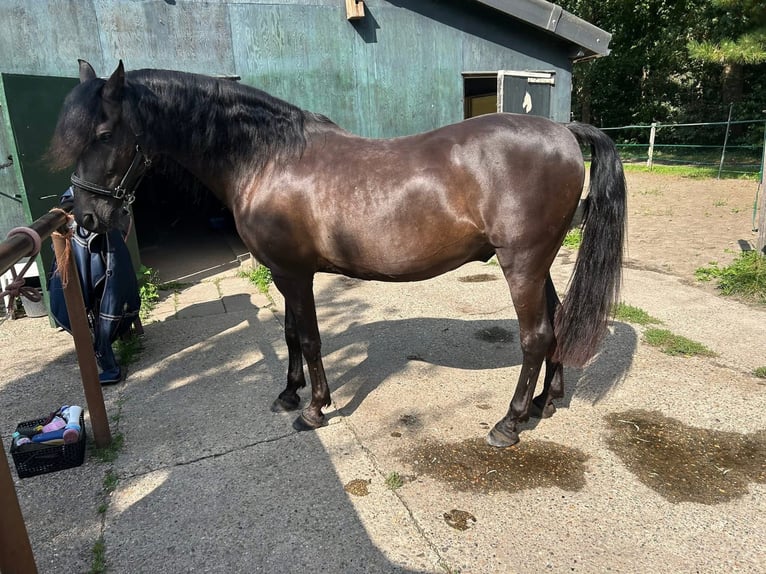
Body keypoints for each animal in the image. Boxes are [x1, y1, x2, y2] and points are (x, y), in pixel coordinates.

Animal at [48, 60, 626, 448]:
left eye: (104, 132)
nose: (87, 219)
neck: (266, 158)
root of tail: (562, 129)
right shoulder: (283, 273)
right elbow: (289, 335)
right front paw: (289, 395)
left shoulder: (295, 273)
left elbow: (308, 337)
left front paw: (314, 410)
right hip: (538, 263)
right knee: (556, 321)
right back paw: (545, 403)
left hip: (521, 263)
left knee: (536, 336)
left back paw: (509, 423)